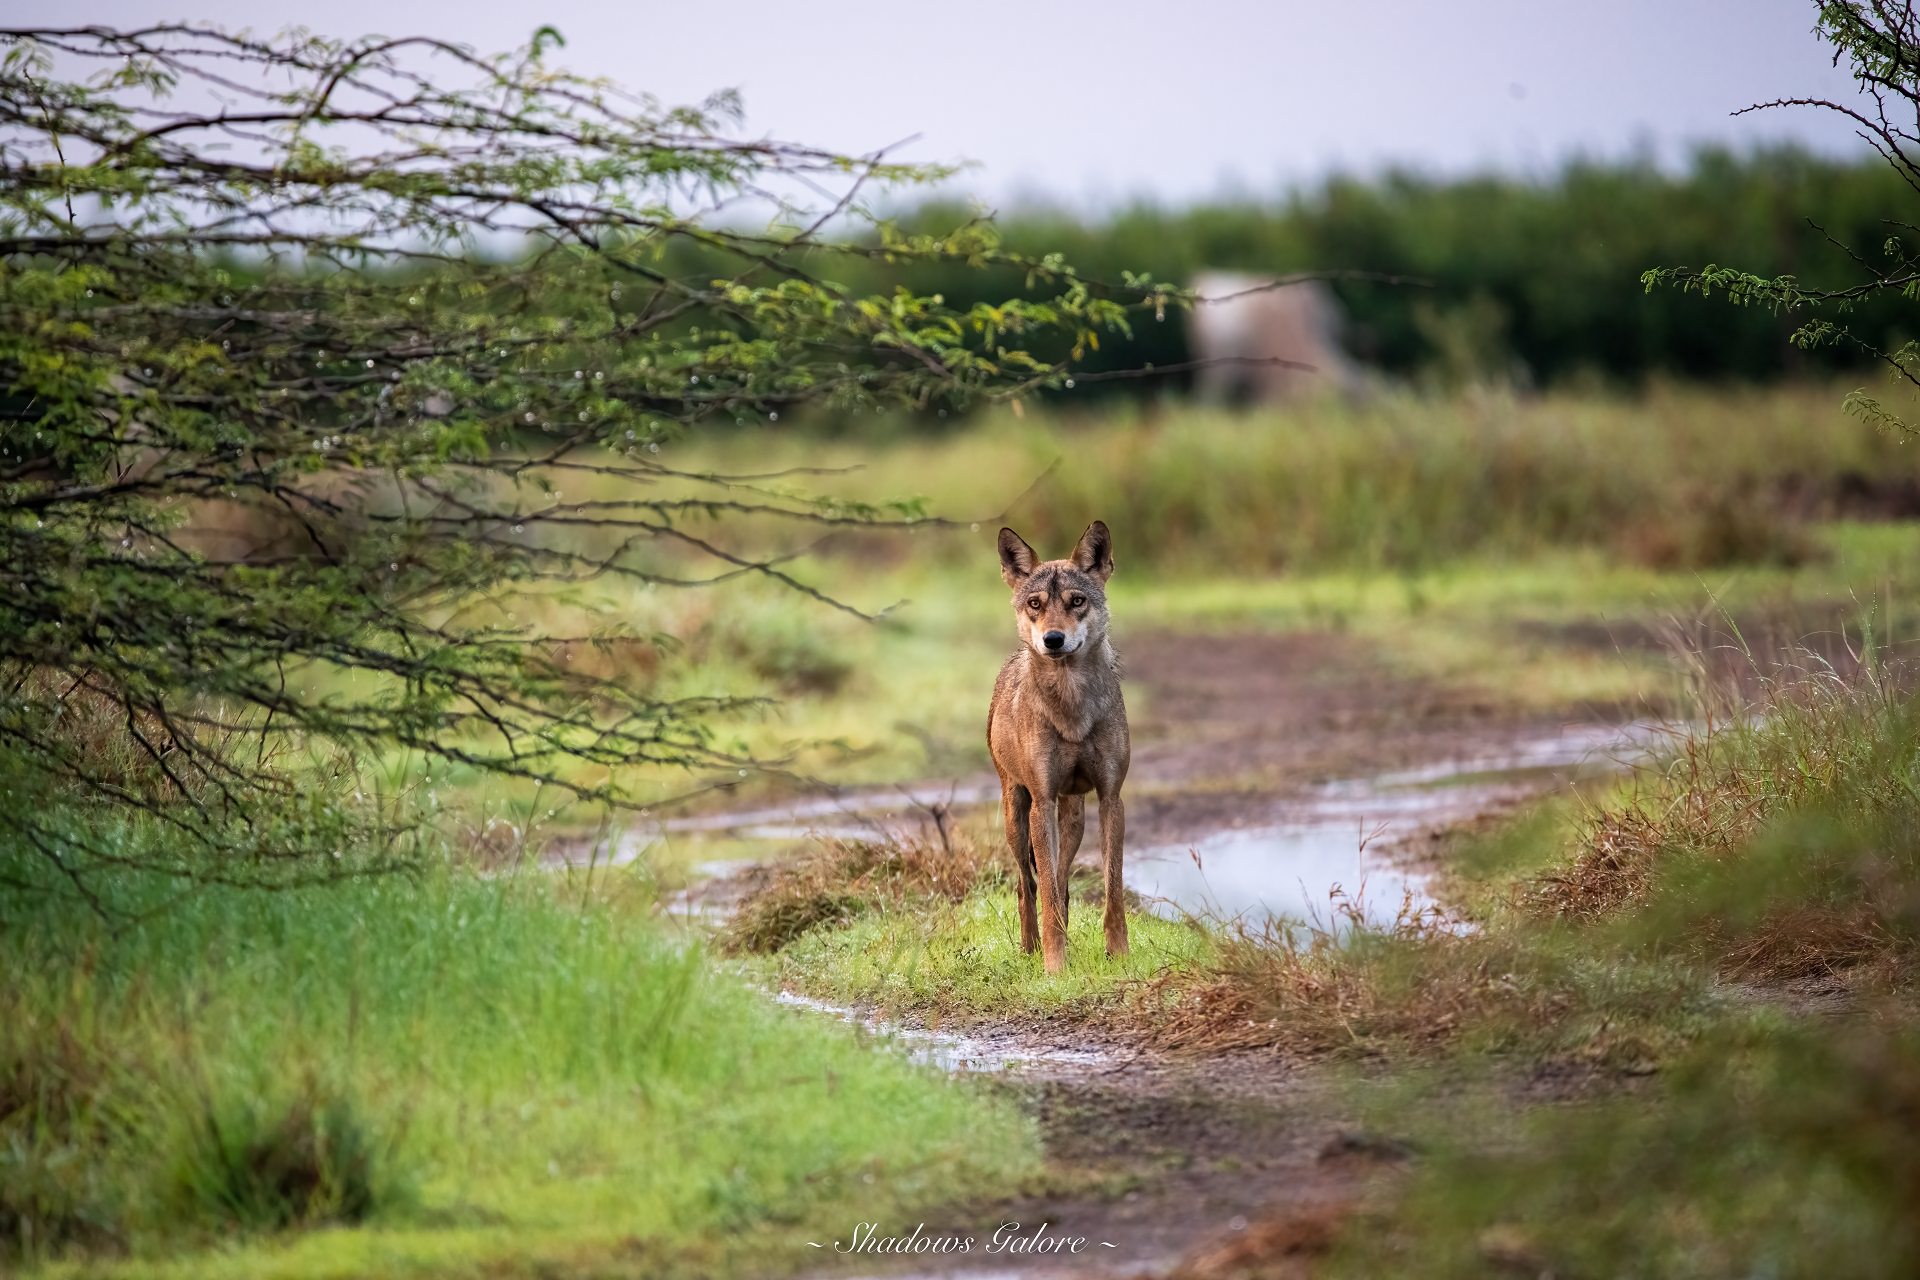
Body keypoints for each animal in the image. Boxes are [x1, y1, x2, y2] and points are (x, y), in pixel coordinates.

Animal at [990, 521, 1121, 971]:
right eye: (1036, 603)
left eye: (1076, 601)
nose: (1052, 639)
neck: (1071, 706)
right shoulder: (1042, 800)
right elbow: (1042, 890)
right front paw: (1054, 968)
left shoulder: (1110, 797)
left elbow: (1112, 890)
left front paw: (1118, 955)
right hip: (1017, 815)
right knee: (1026, 886)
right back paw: (1029, 949)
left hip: (1074, 816)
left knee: (1061, 882)